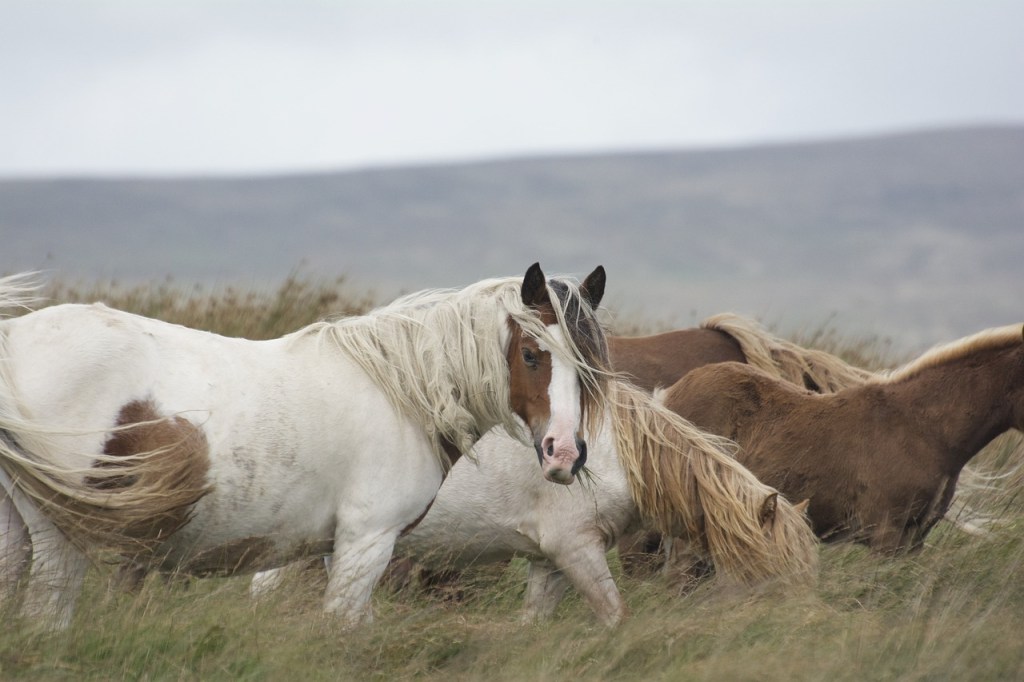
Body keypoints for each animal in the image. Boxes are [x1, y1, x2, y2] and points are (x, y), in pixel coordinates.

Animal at [0, 263, 609, 630]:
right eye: (531, 354)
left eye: (590, 364)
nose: (563, 454)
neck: (402, 390)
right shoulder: (368, 541)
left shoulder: (342, 547)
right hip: (62, 536)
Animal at [254, 379, 820, 627]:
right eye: (774, 572)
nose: (809, 624)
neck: (615, 454)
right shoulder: (577, 551)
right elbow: (615, 615)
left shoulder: (551, 562)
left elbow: (533, 623)